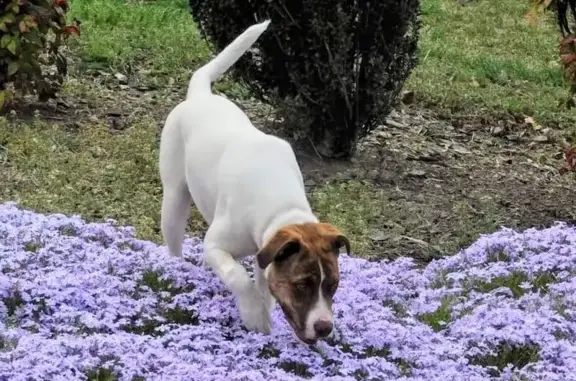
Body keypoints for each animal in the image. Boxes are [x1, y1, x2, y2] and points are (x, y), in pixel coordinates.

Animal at [161, 19, 352, 342]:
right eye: (302, 284)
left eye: (333, 285)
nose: (325, 328)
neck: (282, 207)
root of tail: (200, 95)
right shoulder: (215, 245)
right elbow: (239, 277)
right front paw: (255, 315)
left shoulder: (266, 254)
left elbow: (263, 284)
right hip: (174, 198)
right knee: (173, 238)